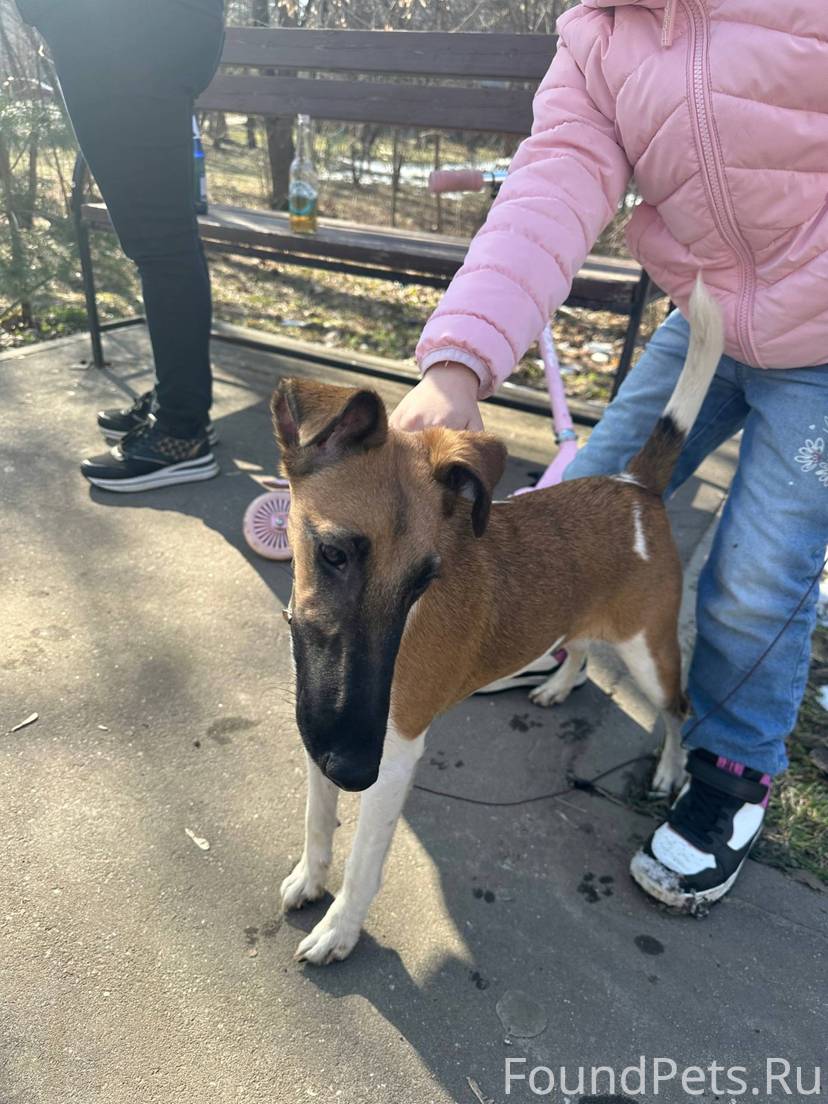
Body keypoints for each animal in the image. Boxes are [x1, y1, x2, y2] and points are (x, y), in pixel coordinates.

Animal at [271, 277, 724, 964]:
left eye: (424, 581)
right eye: (333, 554)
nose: (352, 768)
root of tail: (634, 485)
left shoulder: (393, 753)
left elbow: (362, 864)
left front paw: (341, 928)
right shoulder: (321, 721)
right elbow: (317, 820)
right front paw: (309, 877)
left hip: (648, 651)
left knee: (678, 708)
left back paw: (672, 769)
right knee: (580, 648)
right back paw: (557, 686)